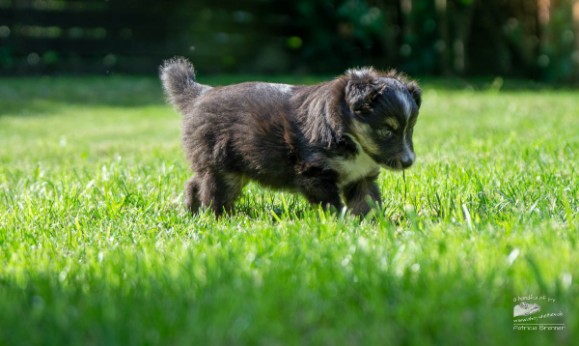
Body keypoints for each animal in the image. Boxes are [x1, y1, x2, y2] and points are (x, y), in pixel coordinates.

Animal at [160, 58, 422, 218]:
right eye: (387, 131)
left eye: (410, 129)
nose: (409, 162)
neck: (348, 136)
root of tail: (199, 94)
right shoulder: (314, 173)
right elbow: (332, 205)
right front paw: (339, 224)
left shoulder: (361, 177)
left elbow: (367, 203)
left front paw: (373, 225)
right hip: (220, 166)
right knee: (213, 193)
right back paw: (219, 219)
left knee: (194, 184)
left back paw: (193, 214)